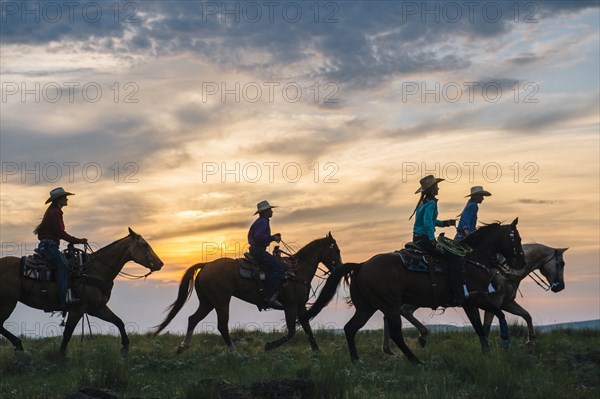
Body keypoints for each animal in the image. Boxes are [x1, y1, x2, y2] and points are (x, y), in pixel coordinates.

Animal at [0, 228, 164, 356]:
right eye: (144, 245)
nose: (160, 264)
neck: (95, 270)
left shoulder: (97, 308)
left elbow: (119, 322)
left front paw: (125, 348)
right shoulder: (77, 309)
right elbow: (67, 333)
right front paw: (60, 357)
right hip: (8, 302)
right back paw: (19, 345)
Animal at [152, 233, 342, 354]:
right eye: (336, 250)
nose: (340, 267)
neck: (296, 272)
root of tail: (206, 265)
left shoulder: (301, 306)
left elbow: (307, 328)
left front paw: (317, 352)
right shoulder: (290, 306)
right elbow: (291, 332)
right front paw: (269, 346)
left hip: (208, 302)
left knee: (193, 319)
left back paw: (183, 347)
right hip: (221, 301)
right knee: (222, 326)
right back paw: (235, 353)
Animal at [300, 220, 524, 364]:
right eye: (517, 239)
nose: (521, 261)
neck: (471, 258)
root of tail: (361, 265)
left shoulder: (469, 301)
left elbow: (479, 326)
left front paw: (487, 352)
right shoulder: (476, 297)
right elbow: (499, 314)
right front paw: (505, 341)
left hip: (367, 307)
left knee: (350, 328)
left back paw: (356, 360)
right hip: (389, 306)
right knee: (395, 333)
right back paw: (415, 360)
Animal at [382, 244, 568, 354]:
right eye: (562, 263)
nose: (560, 287)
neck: (506, 271)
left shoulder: (506, 303)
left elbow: (526, 315)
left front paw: (530, 341)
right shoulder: (493, 302)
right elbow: (486, 325)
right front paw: (487, 347)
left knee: (393, 314)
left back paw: (390, 348)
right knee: (400, 311)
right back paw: (420, 336)